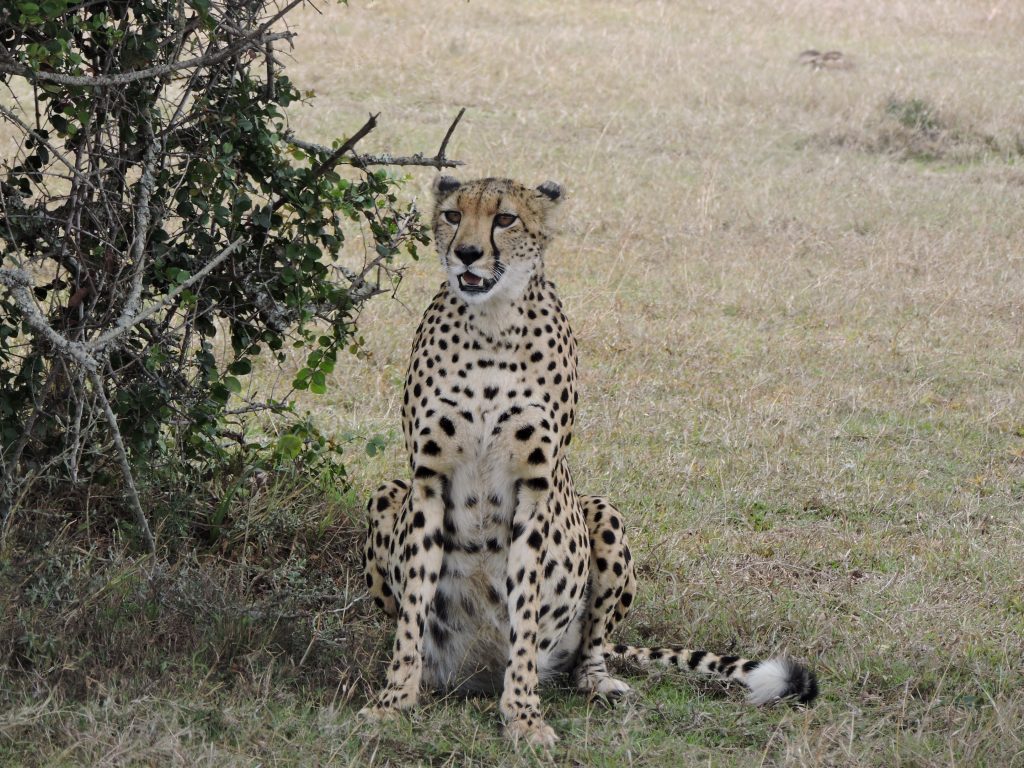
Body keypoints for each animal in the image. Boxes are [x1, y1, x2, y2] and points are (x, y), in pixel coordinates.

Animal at [360, 176, 815, 745]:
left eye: (504, 219)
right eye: (451, 214)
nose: (466, 252)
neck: (490, 324)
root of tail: (476, 673)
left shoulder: (536, 485)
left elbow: (525, 613)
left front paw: (523, 715)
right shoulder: (425, 479)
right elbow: (413, 611)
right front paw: (394, 700)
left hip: (602, 513)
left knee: (588, 651)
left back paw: (597, 683)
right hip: (386, 494)